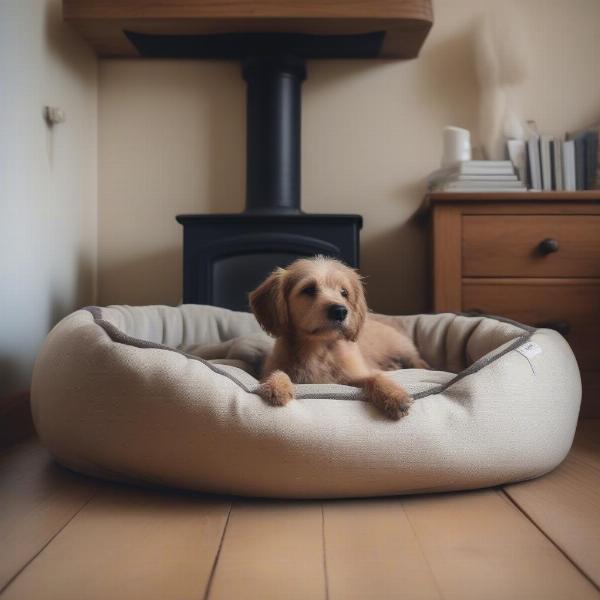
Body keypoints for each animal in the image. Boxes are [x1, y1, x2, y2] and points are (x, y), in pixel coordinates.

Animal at [248, 255, 426, 420]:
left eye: (344, 293)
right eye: (309, 289)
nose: (340, 311)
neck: (318, 350)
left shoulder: (355, 374)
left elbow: (375, 377)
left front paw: (394, 395)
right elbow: (278, 372)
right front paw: (277, 386)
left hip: (402, 347)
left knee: (417, 360)